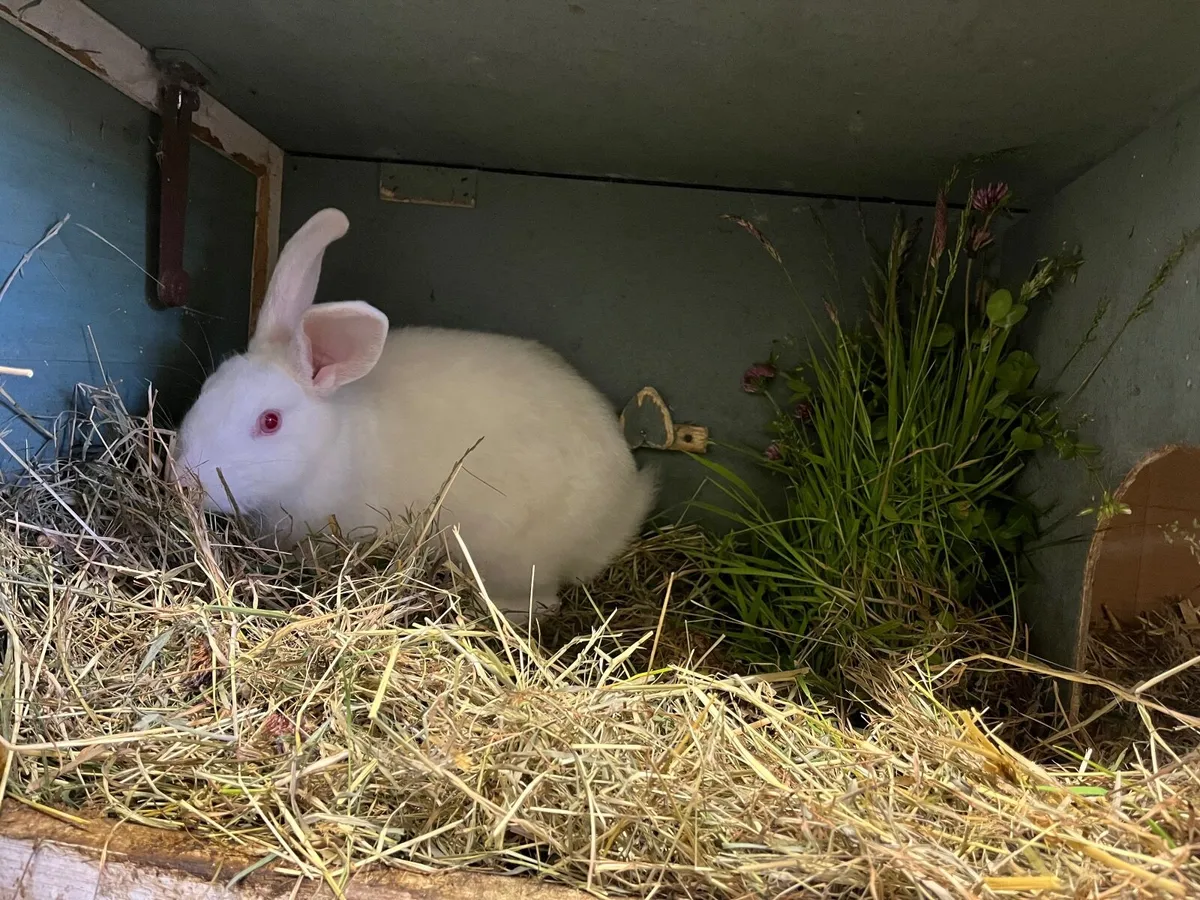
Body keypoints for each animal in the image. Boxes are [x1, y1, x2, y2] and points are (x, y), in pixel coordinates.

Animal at [168, 207, 658, 622]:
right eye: (207, 390)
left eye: (270, 421)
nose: (183, 483)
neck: (331, 445)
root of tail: (626, 500)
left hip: (517, 561)